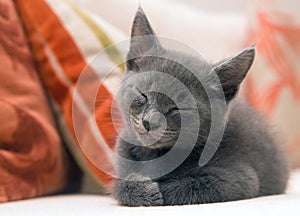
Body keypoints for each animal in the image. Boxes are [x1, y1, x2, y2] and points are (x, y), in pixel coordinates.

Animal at [112, 7, 288, 207]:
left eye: (179, 107)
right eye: (143, 95)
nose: (149, 122)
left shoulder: (239, 177)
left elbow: (185, 185)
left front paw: (152, 191)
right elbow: (118, 183)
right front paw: (139, 188)